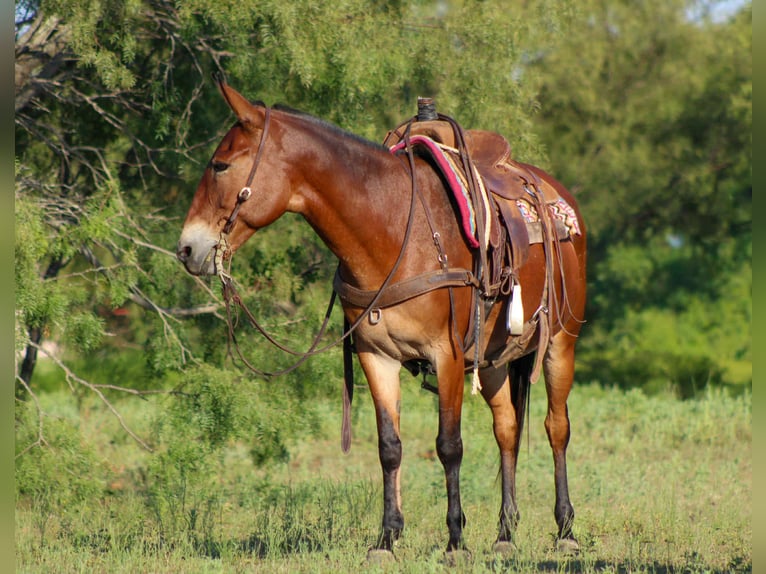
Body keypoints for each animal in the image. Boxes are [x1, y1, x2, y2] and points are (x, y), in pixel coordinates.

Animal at [176, 76, 587, 559]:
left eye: (220, 165)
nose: (186, 248)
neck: (392, 232)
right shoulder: (377, 356)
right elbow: (389, 447)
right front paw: (387, 538)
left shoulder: (447, 356)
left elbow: (449, 445)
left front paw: (455, 541)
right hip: (495, 361)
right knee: (507, 429)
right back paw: (504, 535)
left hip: (559, 343)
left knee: (556, 428)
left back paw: (565, 531)